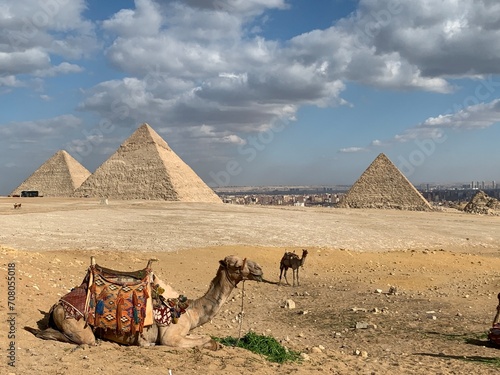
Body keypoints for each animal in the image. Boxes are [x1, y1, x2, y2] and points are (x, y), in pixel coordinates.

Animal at [27, 258, 264, 352]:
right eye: (235, 265)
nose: (259, 269)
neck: (189, 312)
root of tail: (57, 304)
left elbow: (207, 338)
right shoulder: (171, 337)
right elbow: (202, 340)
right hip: (77, 324)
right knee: (78, 338)